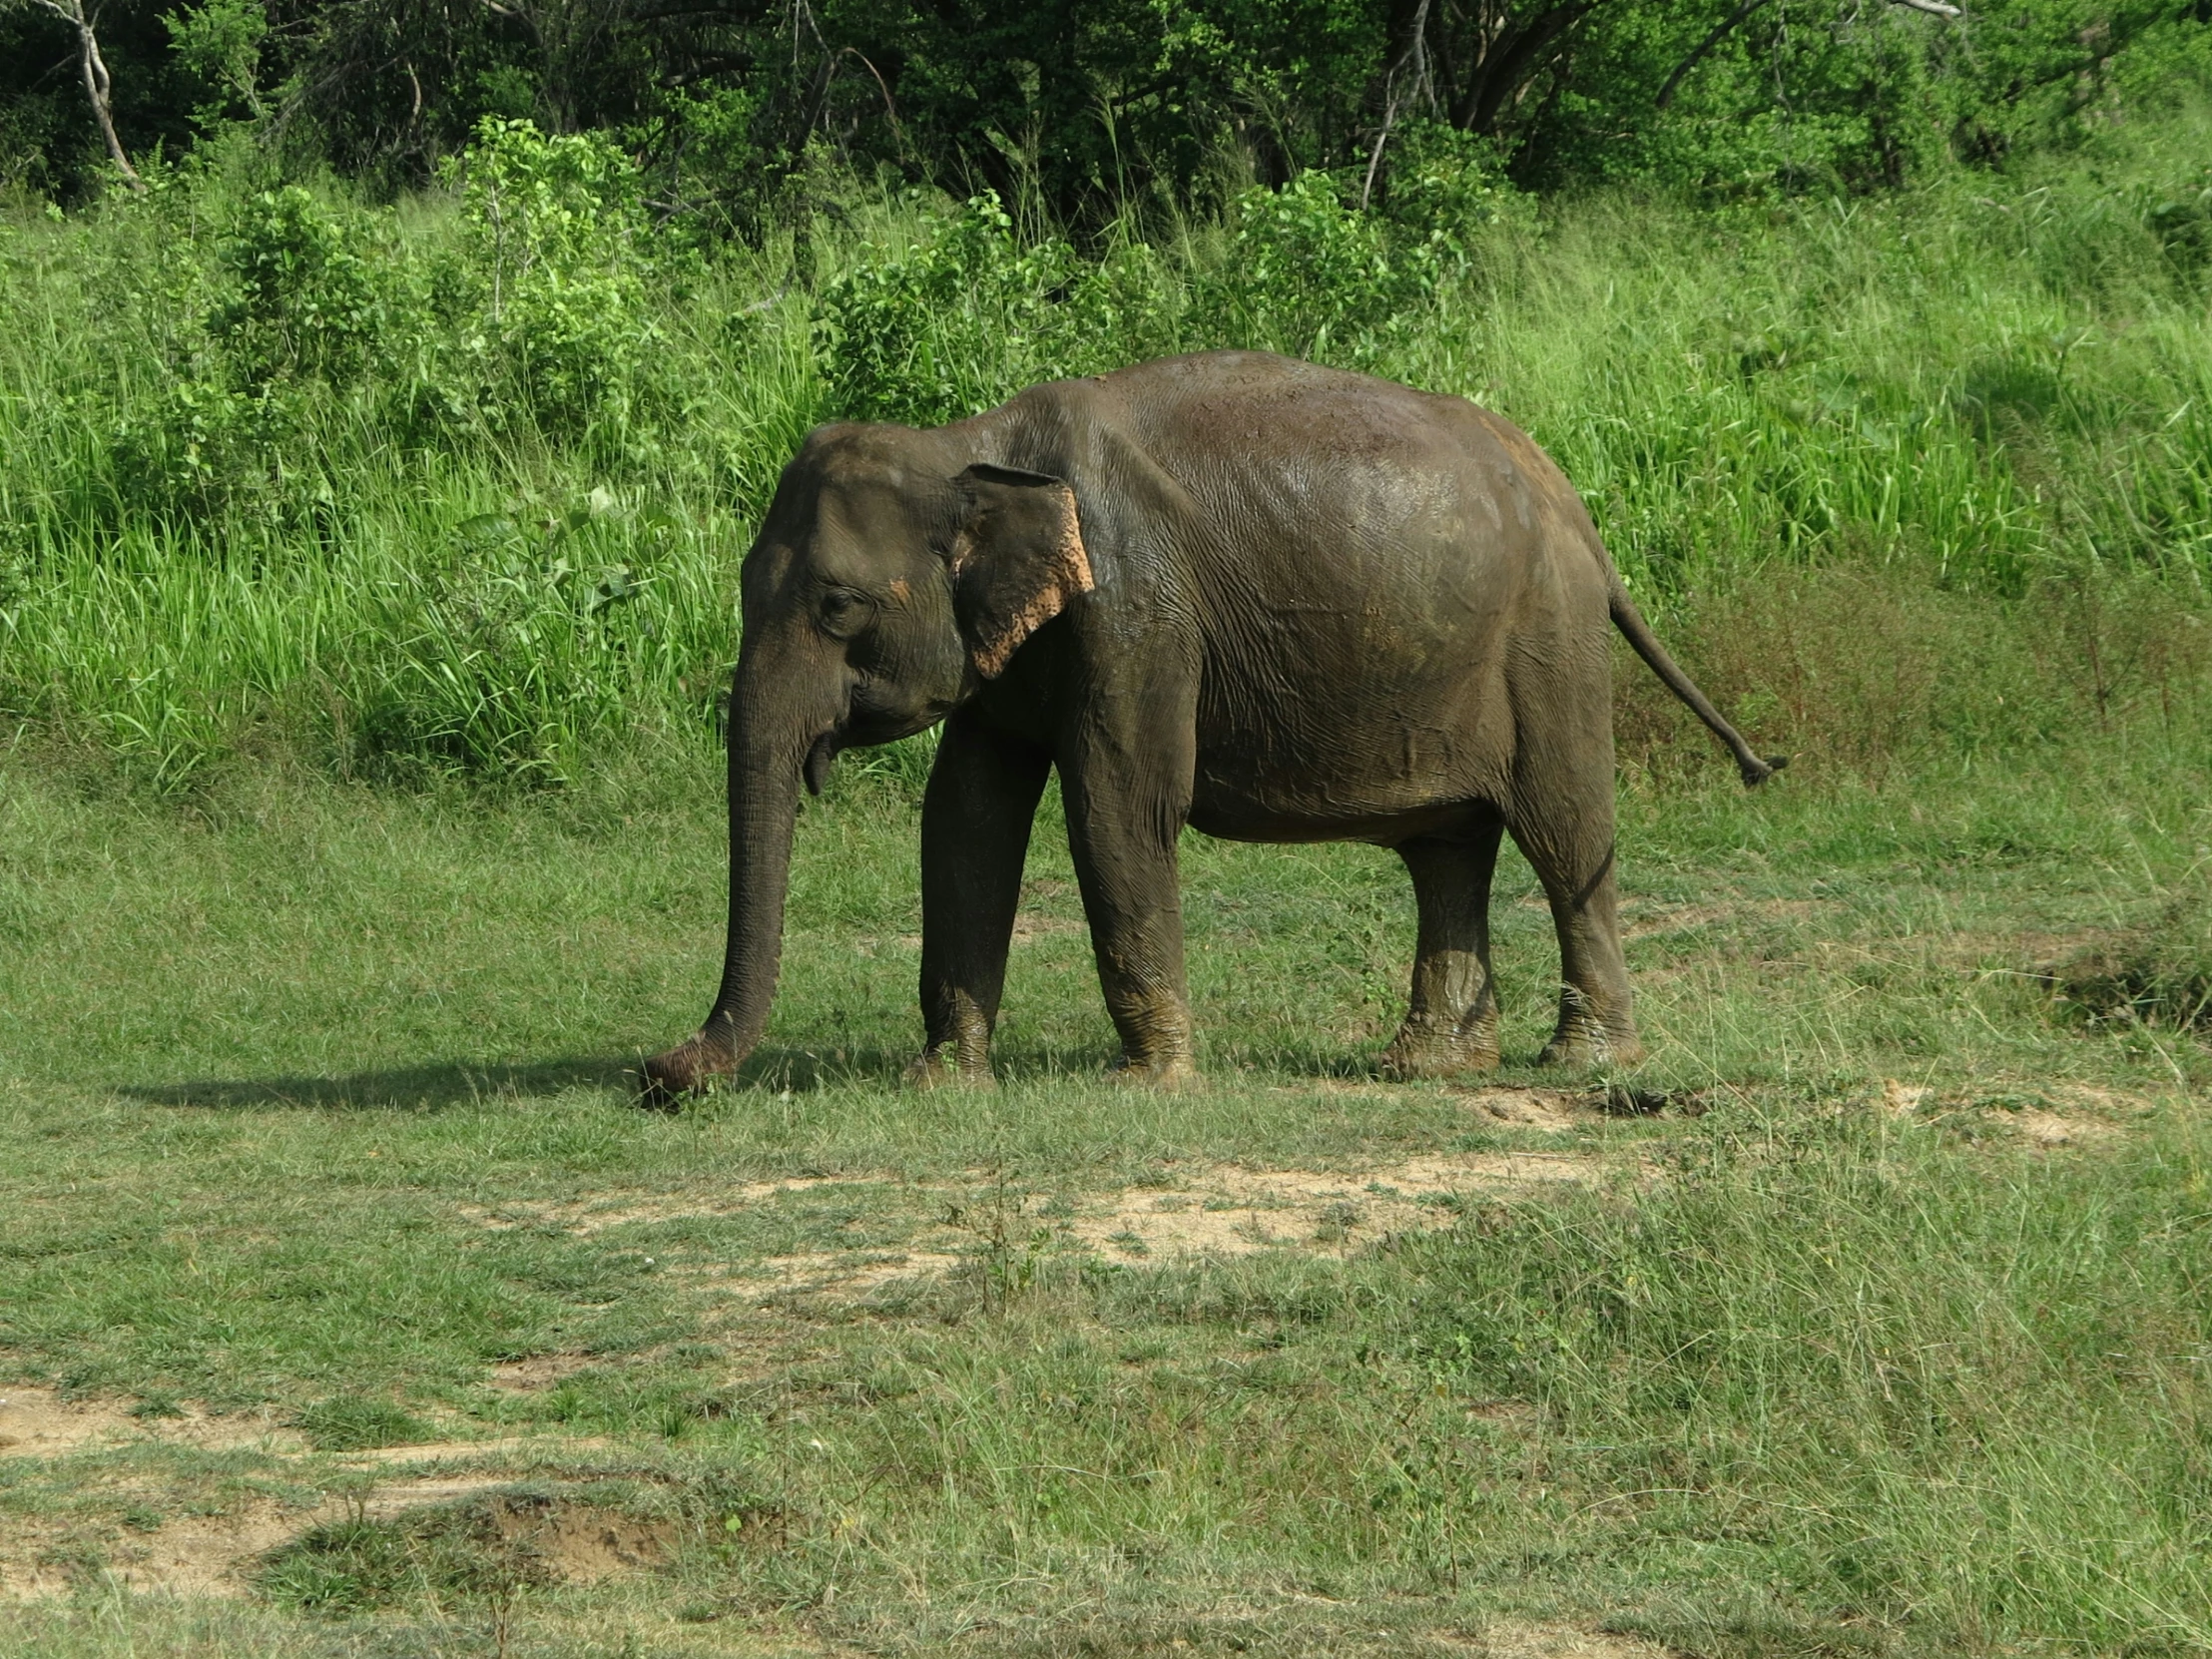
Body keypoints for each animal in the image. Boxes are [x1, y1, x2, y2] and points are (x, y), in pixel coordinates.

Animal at [641, 351, 1778, 1106]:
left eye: (837, 606)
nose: (659, 1073)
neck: (970, 447)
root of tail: (1573, 506)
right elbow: (963, 819)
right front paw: (940, 1086)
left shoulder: (1136, 614)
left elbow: (1117, 808)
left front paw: (1146, 1086)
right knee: (1447, 846)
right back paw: (1425, 1065)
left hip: (1546, 642)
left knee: (1562, 829)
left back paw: (1583, 1064)